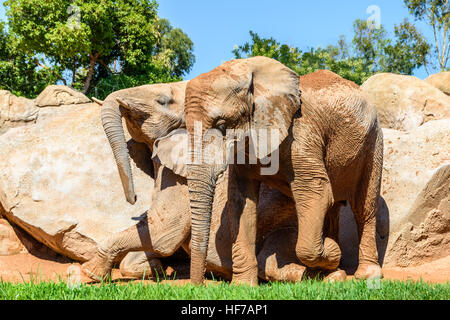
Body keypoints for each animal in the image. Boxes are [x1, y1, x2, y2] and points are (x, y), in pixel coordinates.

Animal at [81, 80, 340, 282]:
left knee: (271, 263)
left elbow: (164, 234)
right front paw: (156, 270)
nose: (133, 198)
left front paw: (90, 274)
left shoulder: (180, 178)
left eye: (162, 100)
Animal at [162, 57, 384, 284]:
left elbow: (315, 192)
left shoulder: (302, 136)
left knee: (363, 206)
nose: (200, 285)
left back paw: (366, 274)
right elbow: (241, 199)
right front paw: (243, 285)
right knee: (332, 208)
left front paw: (331, 248)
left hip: (373, 142)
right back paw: (331, 273)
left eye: (222, 125)